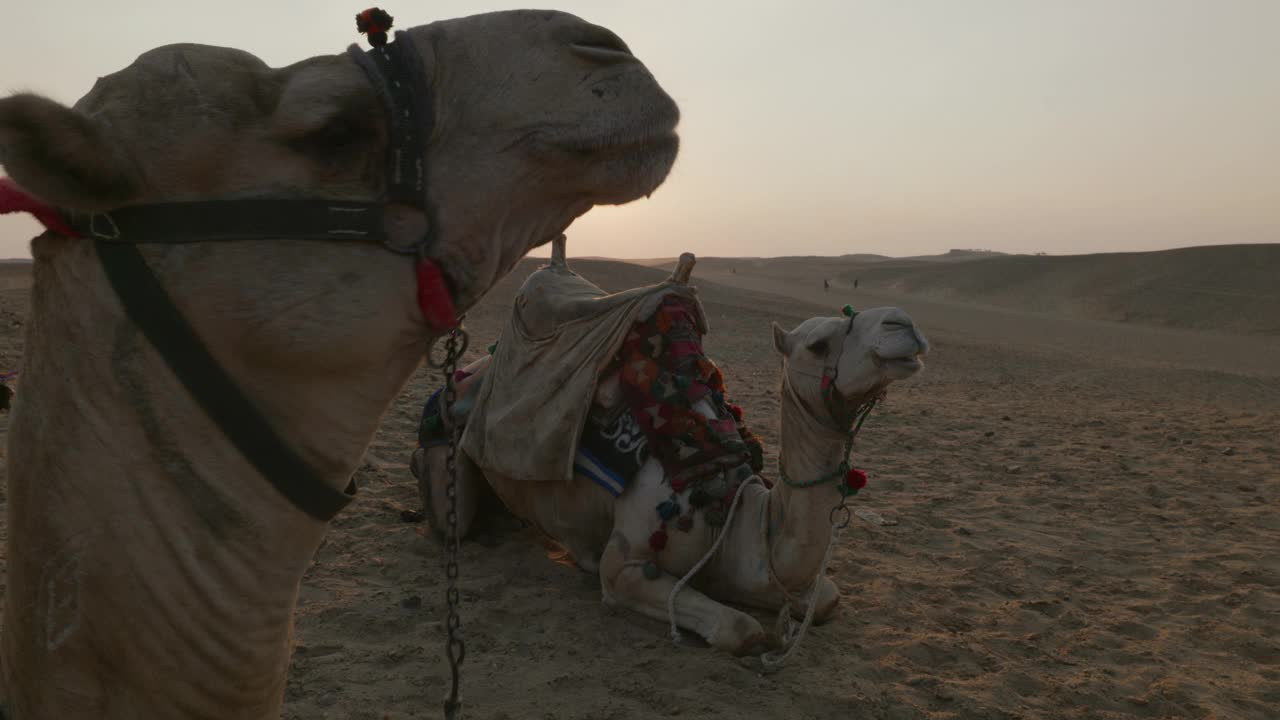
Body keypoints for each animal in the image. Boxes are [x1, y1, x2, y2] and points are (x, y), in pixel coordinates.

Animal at [419, 262, 931, 650]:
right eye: (818, 344)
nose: (903, 323)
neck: (733, 513)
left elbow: (825, 597)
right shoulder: (625, 564)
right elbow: (740, 629)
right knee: (454, 521)